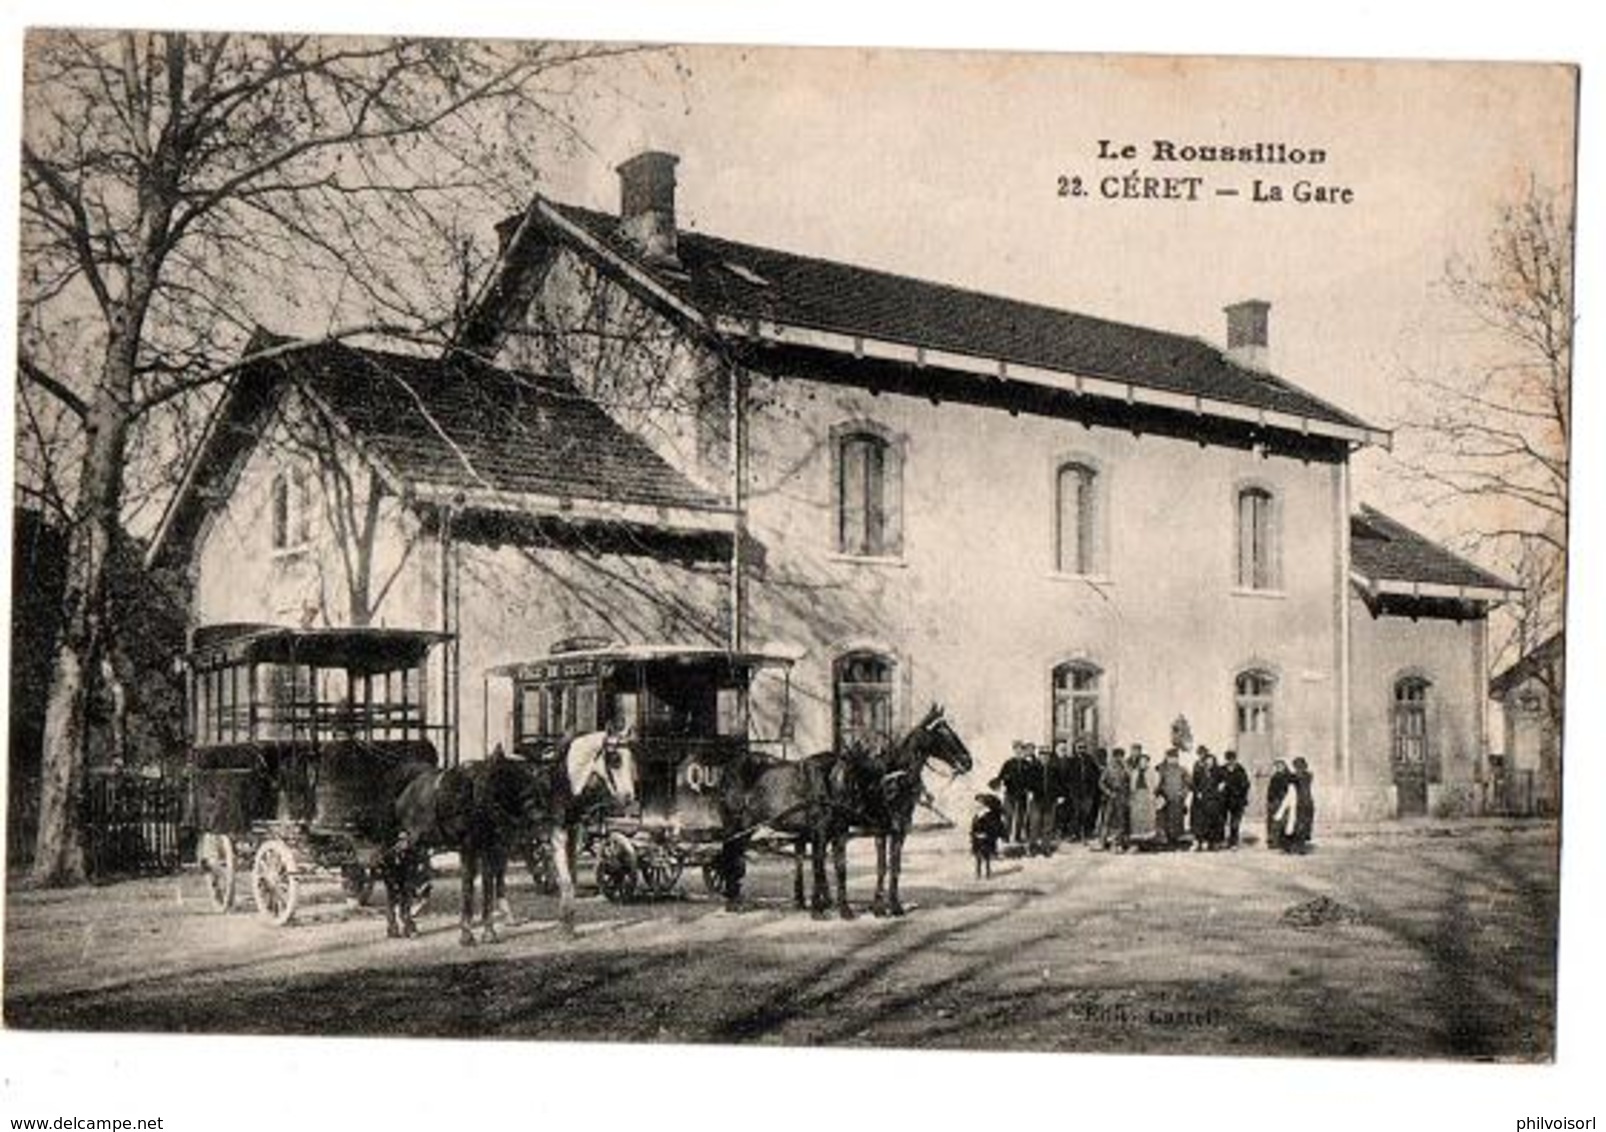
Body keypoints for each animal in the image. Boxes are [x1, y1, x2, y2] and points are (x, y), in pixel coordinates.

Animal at [391, 728, 635, 937]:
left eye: (630, 756)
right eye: (614, 758)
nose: (628, 797)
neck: (558, 784)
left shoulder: (571, 833)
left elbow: (570, 880)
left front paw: (567, 924)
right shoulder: (555, 834)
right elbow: (564, 879)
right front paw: (566, 927)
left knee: (494, 873)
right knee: (407, 869)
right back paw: (407, 919)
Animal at [719, 706, 970, 918]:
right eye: (943, 732)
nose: (968, 761)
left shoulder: (890, 831)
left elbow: (882, 867)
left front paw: (886, 906)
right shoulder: (850, 831)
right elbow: (828, 865)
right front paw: (834, 908)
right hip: (737, 824)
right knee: (733, 853)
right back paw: (733, 900)